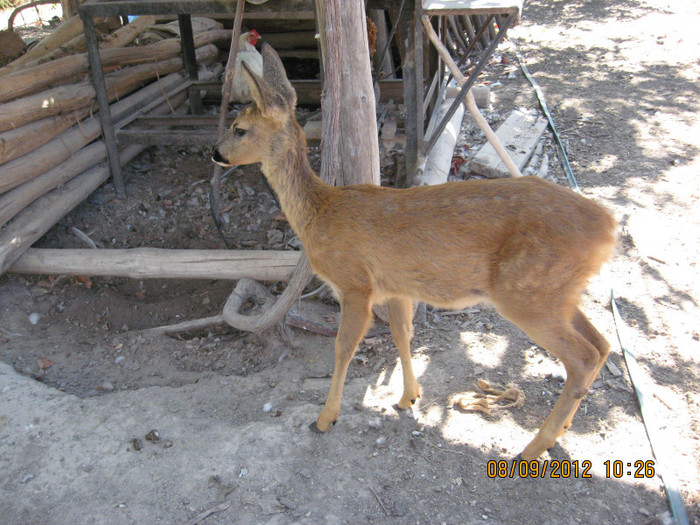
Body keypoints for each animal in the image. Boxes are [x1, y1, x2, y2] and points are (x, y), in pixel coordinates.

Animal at [213, 46, 616, 462]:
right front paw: (408, 397)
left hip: (526, 292)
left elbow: (343, 348)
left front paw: (325, 418)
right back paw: (558, 432)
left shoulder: (354, 283)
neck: (319, 211)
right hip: (557, 292)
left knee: (584, 357)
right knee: (602, 344)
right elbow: (402, 335)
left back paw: (532, 448)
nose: (215, 153)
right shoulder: (397, 287)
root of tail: (607, 227)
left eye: (239, 128)